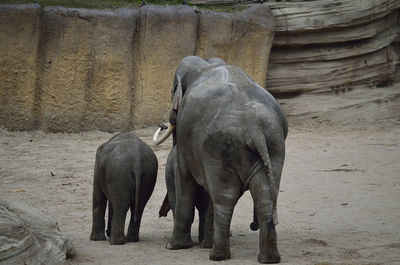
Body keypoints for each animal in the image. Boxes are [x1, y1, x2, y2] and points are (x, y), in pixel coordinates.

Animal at [154, 55, 288, 262]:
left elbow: (184, 176)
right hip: (274, 145)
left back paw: (217, 255)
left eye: (171, 92)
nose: (161, 125)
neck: (205, 64)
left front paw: (174, 246)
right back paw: (268, 259)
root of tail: (253, 128)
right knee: (264, 197)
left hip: (218, 147)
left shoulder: (186, 137)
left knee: (224, 198)